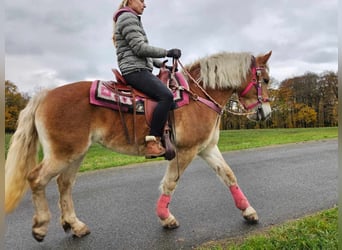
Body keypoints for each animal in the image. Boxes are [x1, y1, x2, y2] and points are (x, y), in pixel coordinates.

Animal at [4, 50, 272, 242]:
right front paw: (166, 218)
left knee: (64, 183)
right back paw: (40, 227)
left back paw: (75, 225)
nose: (266, 113)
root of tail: (44, 95)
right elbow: (171, 183)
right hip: (63, 154)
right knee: (36, 179)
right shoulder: (186, 151)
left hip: (75, 153)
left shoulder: (206, 148)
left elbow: (228, 175)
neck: (198, 96)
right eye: (266, 79)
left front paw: (248, 211)